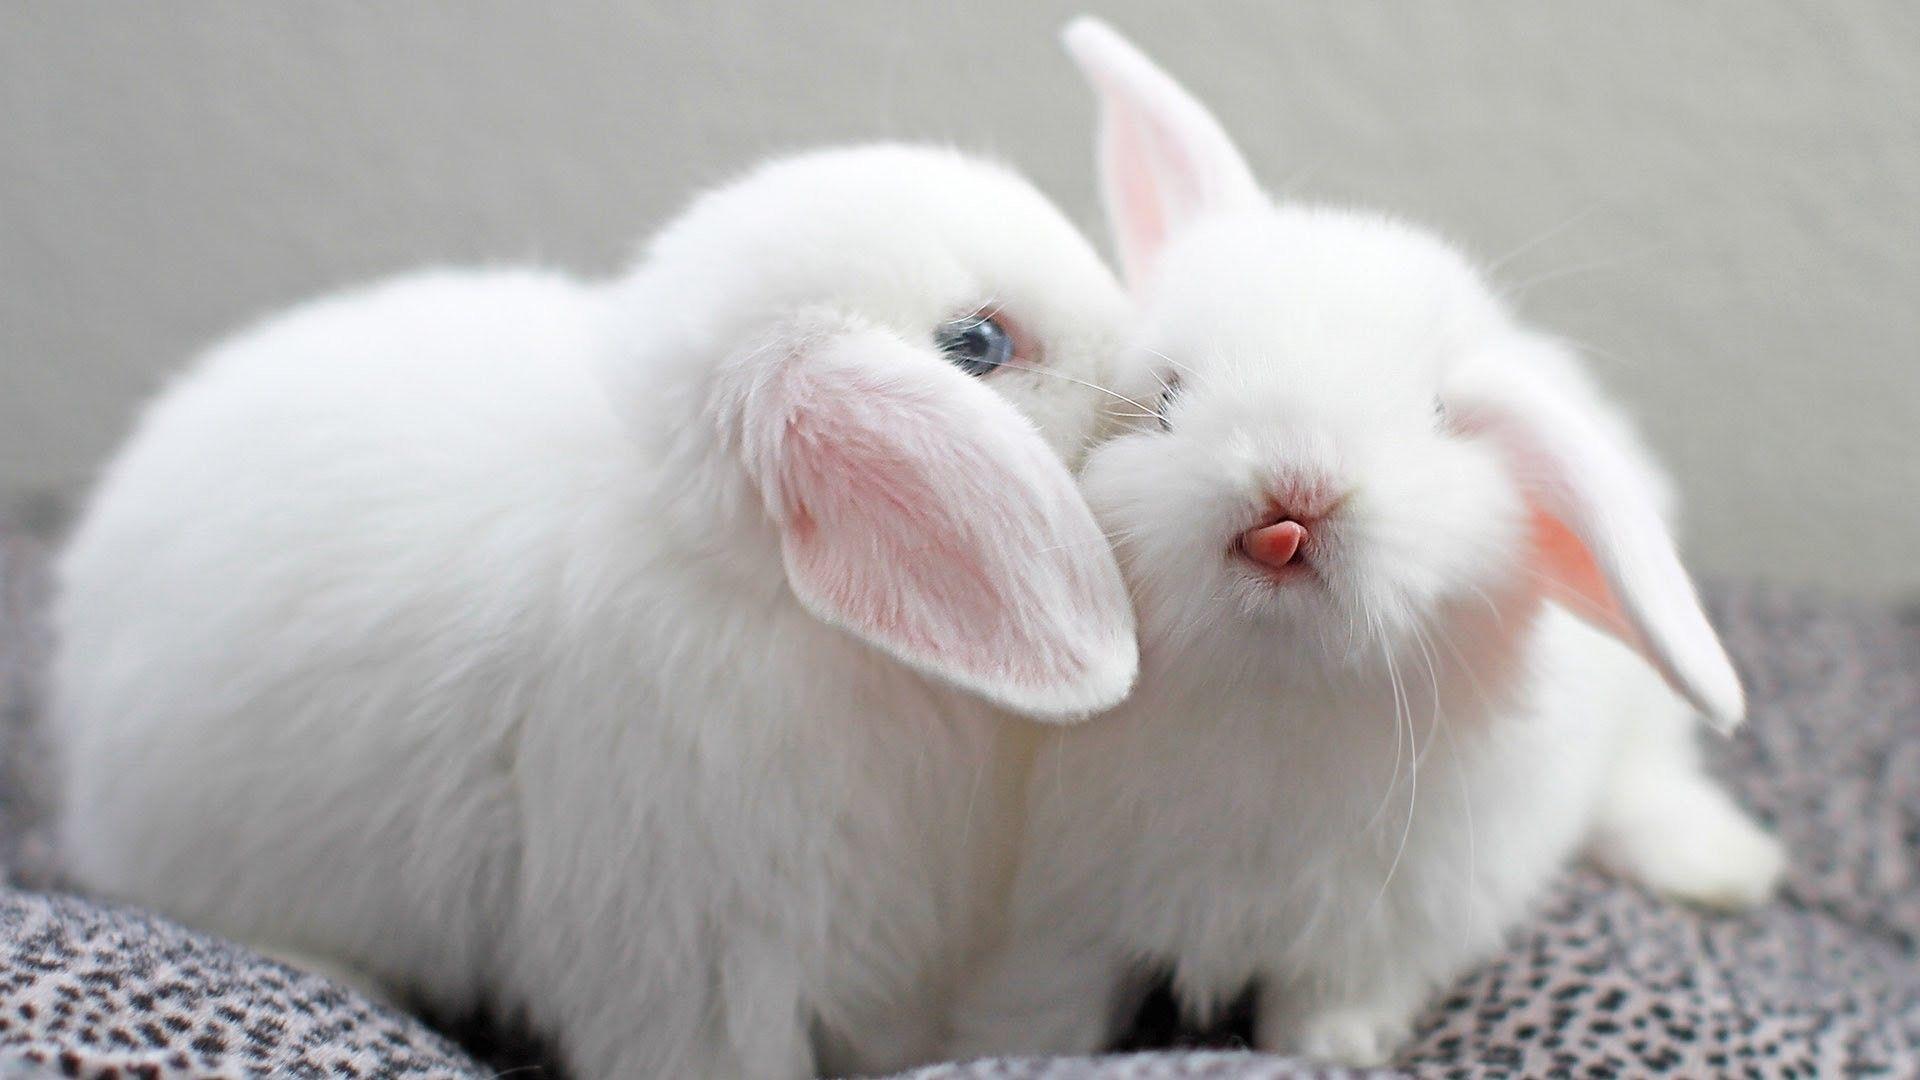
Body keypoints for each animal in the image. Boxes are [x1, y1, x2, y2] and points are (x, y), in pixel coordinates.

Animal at [949, 20, 1785, 1067]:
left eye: (1436, 419)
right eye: (1167, 399)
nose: (1295, 488)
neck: (1269, 696)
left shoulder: (1374, 938)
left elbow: (1325, 1010)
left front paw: (1341, 1053)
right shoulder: (1059, 921)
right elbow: (1048, 1010)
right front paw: (1003, 1048)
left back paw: (1725, 867)